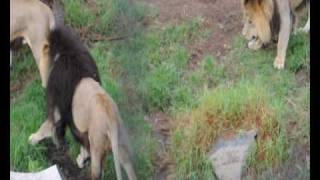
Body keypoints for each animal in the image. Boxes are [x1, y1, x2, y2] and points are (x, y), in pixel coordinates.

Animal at [28, 26, 137, 180]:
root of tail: (110, 117)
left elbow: (47, 126)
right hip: (120, 144)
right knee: (129, 168)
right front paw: (81, 159)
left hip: (97, 143)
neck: (64, 52)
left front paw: (32, 139)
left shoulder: (58, 105)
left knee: (97, 172)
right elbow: (83, 146)